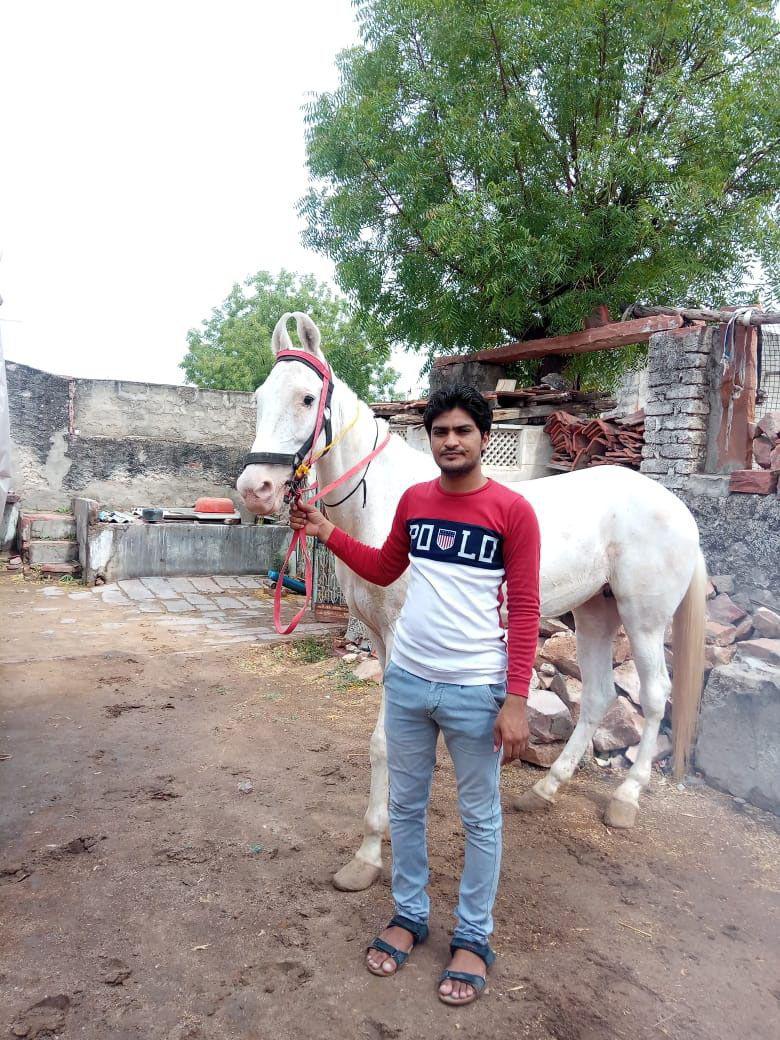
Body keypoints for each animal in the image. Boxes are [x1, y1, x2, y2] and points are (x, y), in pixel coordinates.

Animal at [237, 312, 706, 892]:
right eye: (260, 397)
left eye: (306, 398)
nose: (254, 489)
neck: (385, 506)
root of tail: (675, 505)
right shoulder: (381, 642)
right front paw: (369, 854)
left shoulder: (402, 642)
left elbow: (387, 744)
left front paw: (372, 853)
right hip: (596, 613)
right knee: (598, 696)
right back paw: (545, 790)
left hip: (643, 621)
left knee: (658, 697)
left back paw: (625, 800)